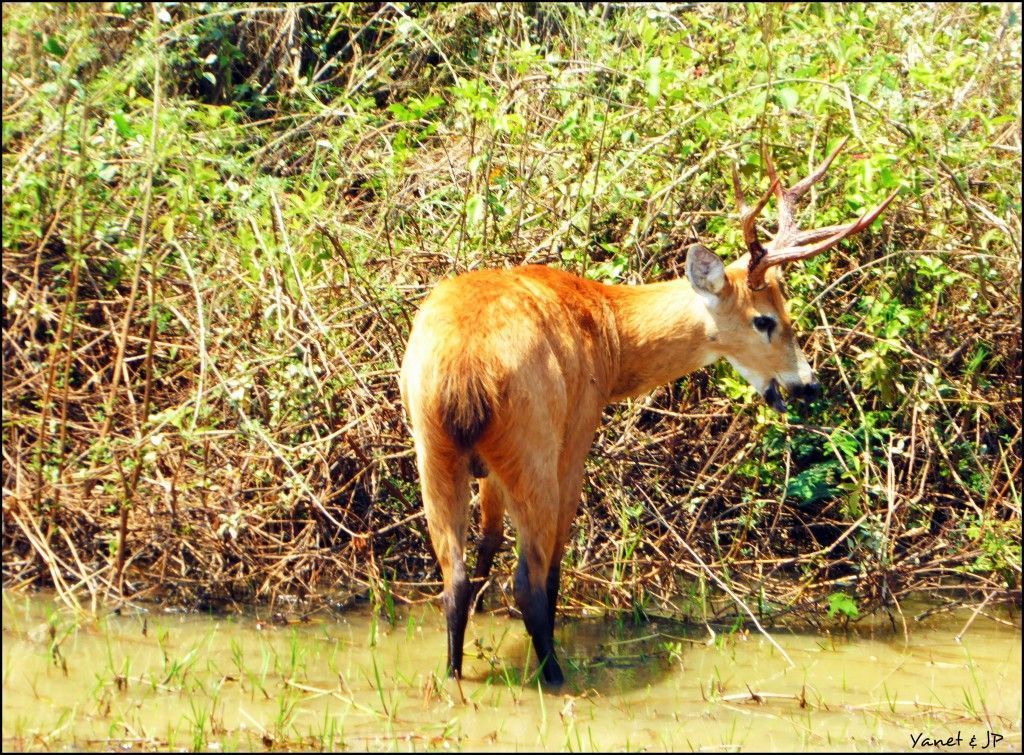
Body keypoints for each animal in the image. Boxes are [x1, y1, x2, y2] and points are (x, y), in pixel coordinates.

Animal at [399, 134, 897, 684]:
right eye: (765, 319)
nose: (808, 383)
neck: (611, 334)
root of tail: (464, 369)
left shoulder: (489, 470)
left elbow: (488, 541)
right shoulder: (579, 428)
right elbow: (549, 564)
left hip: (433, 446)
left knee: (455, 578)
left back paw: (453, 674)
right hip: (532, 444)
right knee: (528, 579)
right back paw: (557, 676)